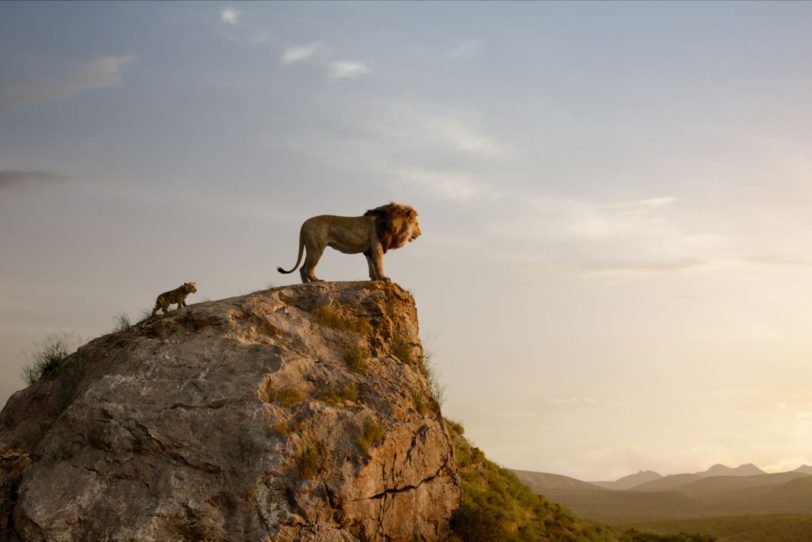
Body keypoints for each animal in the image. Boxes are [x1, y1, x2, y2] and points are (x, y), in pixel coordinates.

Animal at [278, 203, 422, 284]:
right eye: (416, 224)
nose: (421, 233)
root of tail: (304, 224)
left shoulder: (369, 249)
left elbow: (371, 265)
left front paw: (374, 279)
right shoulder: (376, 245)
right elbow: (379, 263)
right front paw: (384, 278)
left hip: (310, 247)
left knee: (302, 268)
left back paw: (306, 284)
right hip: (317, 248)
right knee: (308, 268)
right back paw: (317, 281)